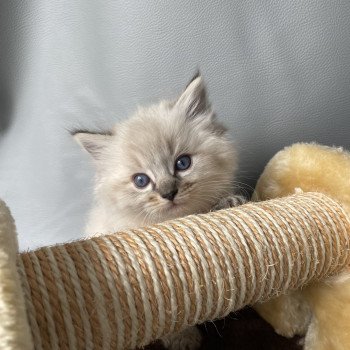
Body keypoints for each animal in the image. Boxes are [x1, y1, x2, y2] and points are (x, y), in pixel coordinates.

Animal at [73, 73, 245, 348]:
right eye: (141, 181)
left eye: (183, 163)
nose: (168, 193)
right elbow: (168, 313)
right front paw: (184, 339)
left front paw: (228, 202)